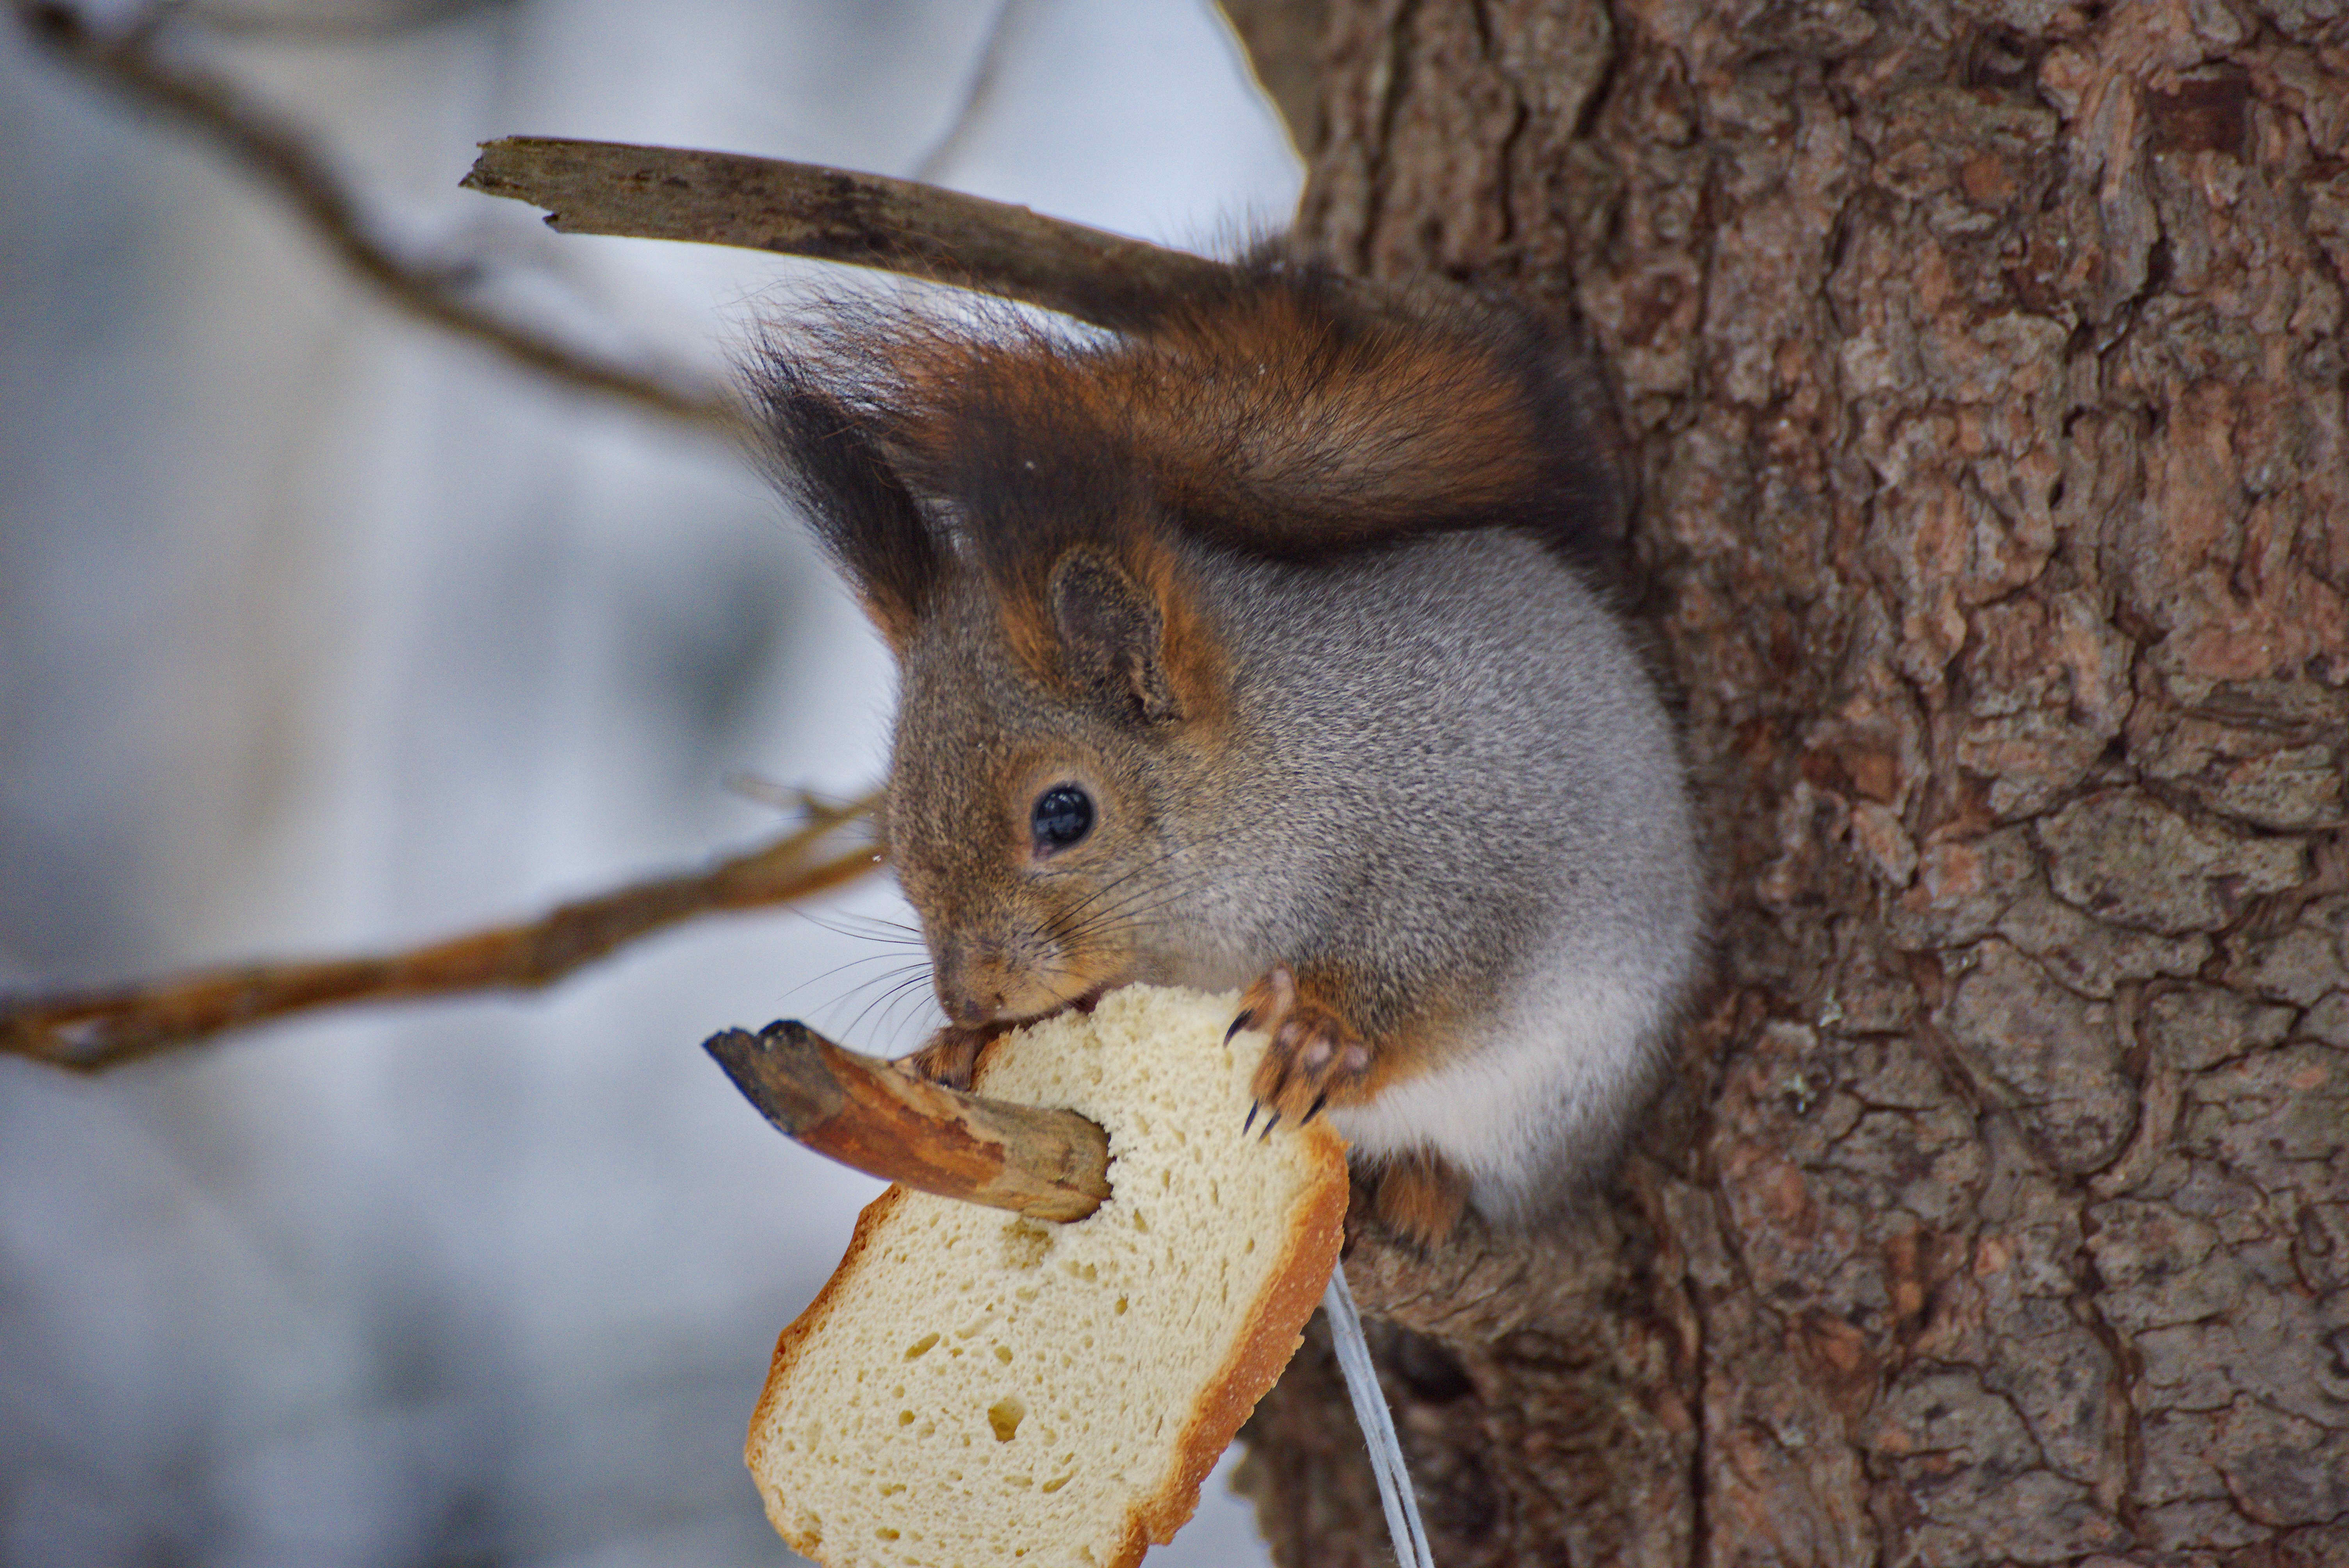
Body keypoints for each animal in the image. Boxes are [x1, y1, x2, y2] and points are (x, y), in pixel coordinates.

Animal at [761, 260, 1700, 1249]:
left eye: (1064, 813)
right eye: (892, 825)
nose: (969, 997)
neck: (1276, 771)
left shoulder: (1465, 859)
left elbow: (1434, 985)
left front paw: (1320, 1038)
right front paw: (958, 1047)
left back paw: (1424, 1186)